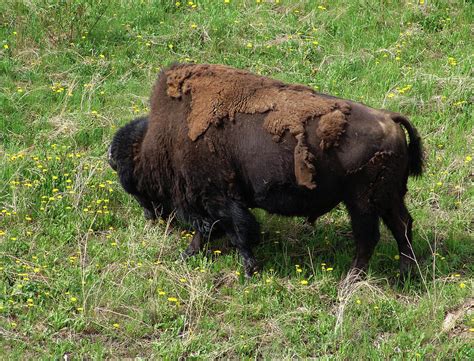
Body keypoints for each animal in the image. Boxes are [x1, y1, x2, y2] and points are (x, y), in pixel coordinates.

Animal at [109, 63, 424, 278]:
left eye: (130, 174)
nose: (150, 216)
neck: (160, 140)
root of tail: (390, 119)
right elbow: (210, 232)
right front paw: (188, 255)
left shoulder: (218, 199)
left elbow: (236, 232)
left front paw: (249, 269)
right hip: (388, 198)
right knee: (402, 226)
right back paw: (405, 273)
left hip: (362, 202)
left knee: (369, 238)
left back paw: (351, 280)